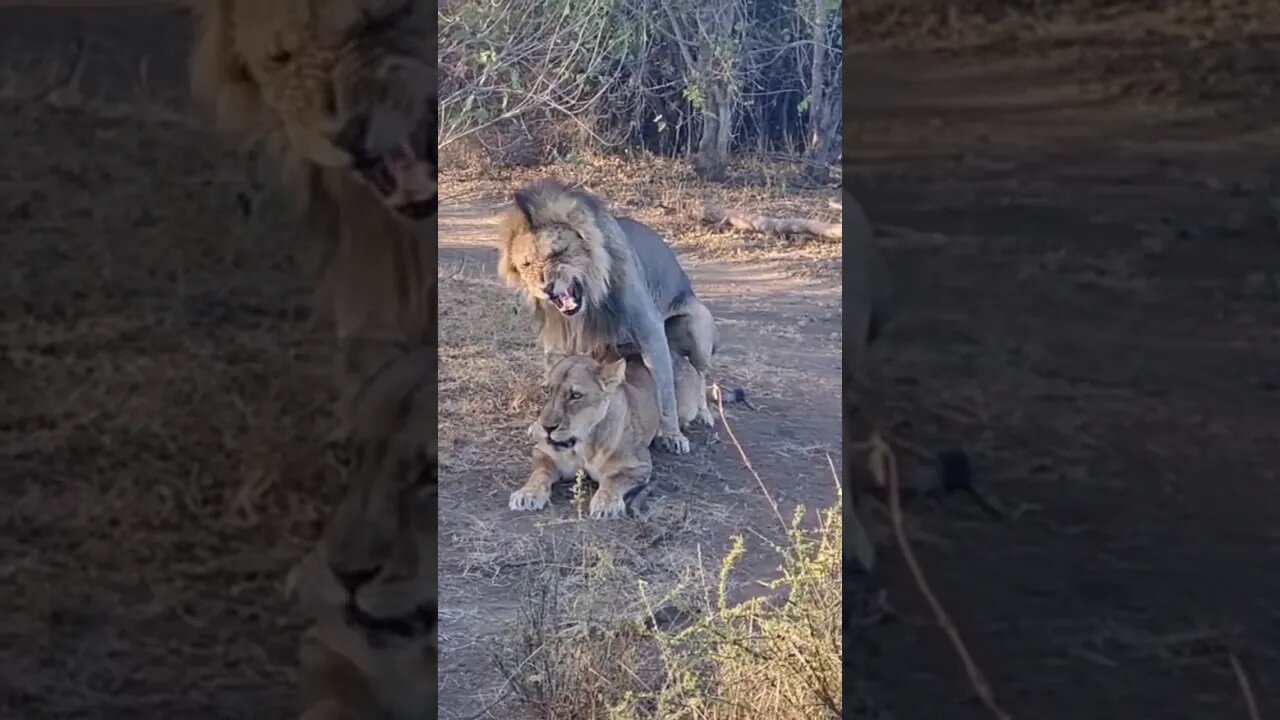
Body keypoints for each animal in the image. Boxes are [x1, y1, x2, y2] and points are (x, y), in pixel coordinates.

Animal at [494, 181, 716, 456]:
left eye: (557, 253)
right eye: (526, 264)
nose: (546, 288)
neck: (590, 301)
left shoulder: (649, 329)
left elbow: (666, 391)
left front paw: (672, 435)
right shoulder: (559, 336)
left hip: (698, 328)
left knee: (700, 374)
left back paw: (704, 414)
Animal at [506, 348, 706, 512]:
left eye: (576, 395)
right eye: (548, 390)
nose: (547, 427)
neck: (584, 445)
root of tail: (678, 355)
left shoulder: (639, 465)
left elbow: (614, 479)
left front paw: (606, 504)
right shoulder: (544, 453)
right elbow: (540, 474)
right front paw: (527, 494)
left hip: (686, 407)